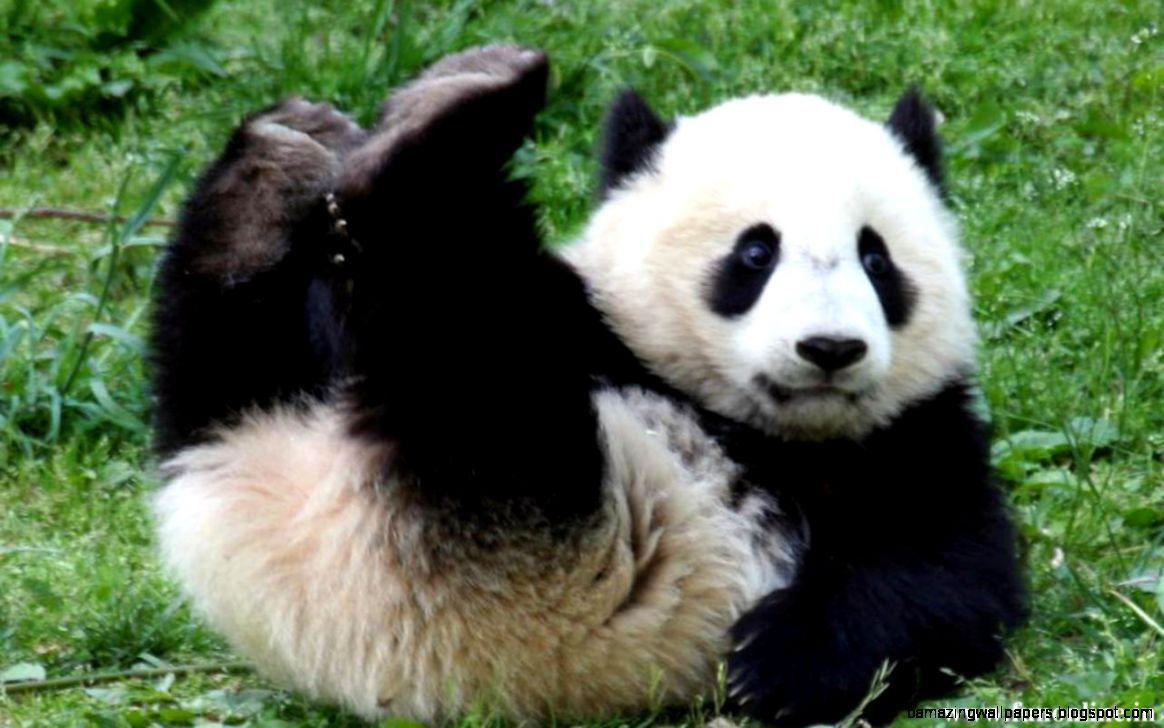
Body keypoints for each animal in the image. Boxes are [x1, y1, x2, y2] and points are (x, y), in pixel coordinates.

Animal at [151, 45, 1025, 726]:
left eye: (876, 258)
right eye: (755, 254)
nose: (831, 349)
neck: (758, 429)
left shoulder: (918, 437)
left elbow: (944, 578)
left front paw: (777, 666)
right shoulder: (596, 323)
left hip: (520, 517)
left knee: (454, 346)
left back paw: (408, 139)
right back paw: (306, 159)